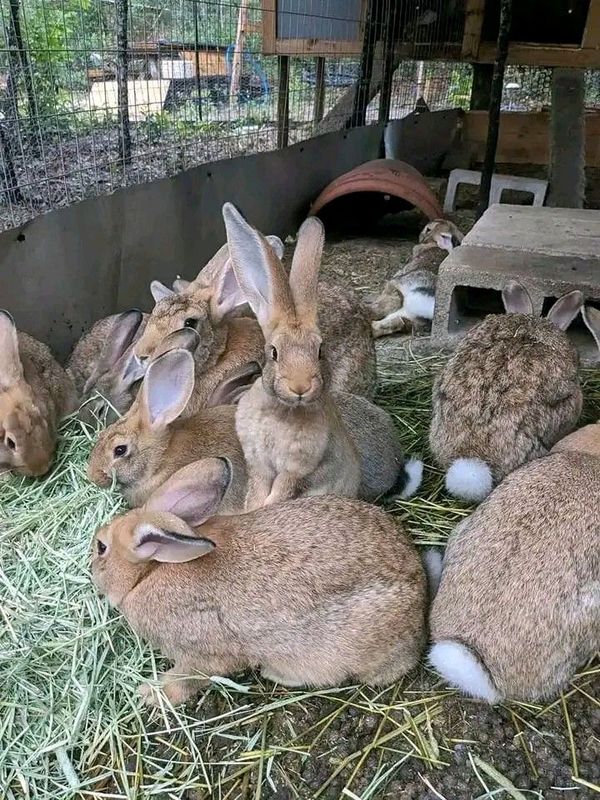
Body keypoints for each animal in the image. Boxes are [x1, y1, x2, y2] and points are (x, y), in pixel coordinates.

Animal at [90, 456, 426, 708]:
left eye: (101, 547)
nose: (91, 571)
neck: (149, 572)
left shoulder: (202, 656)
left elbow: (187, 679)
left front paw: (149, 694)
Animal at [221, 203, 358, 510]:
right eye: (274, 352)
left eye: (319, 351)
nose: (300, 387)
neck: (282, 411)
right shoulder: (258, 463)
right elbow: (259, 488)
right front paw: (253, 508)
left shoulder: (296, 470)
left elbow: (281, 490)